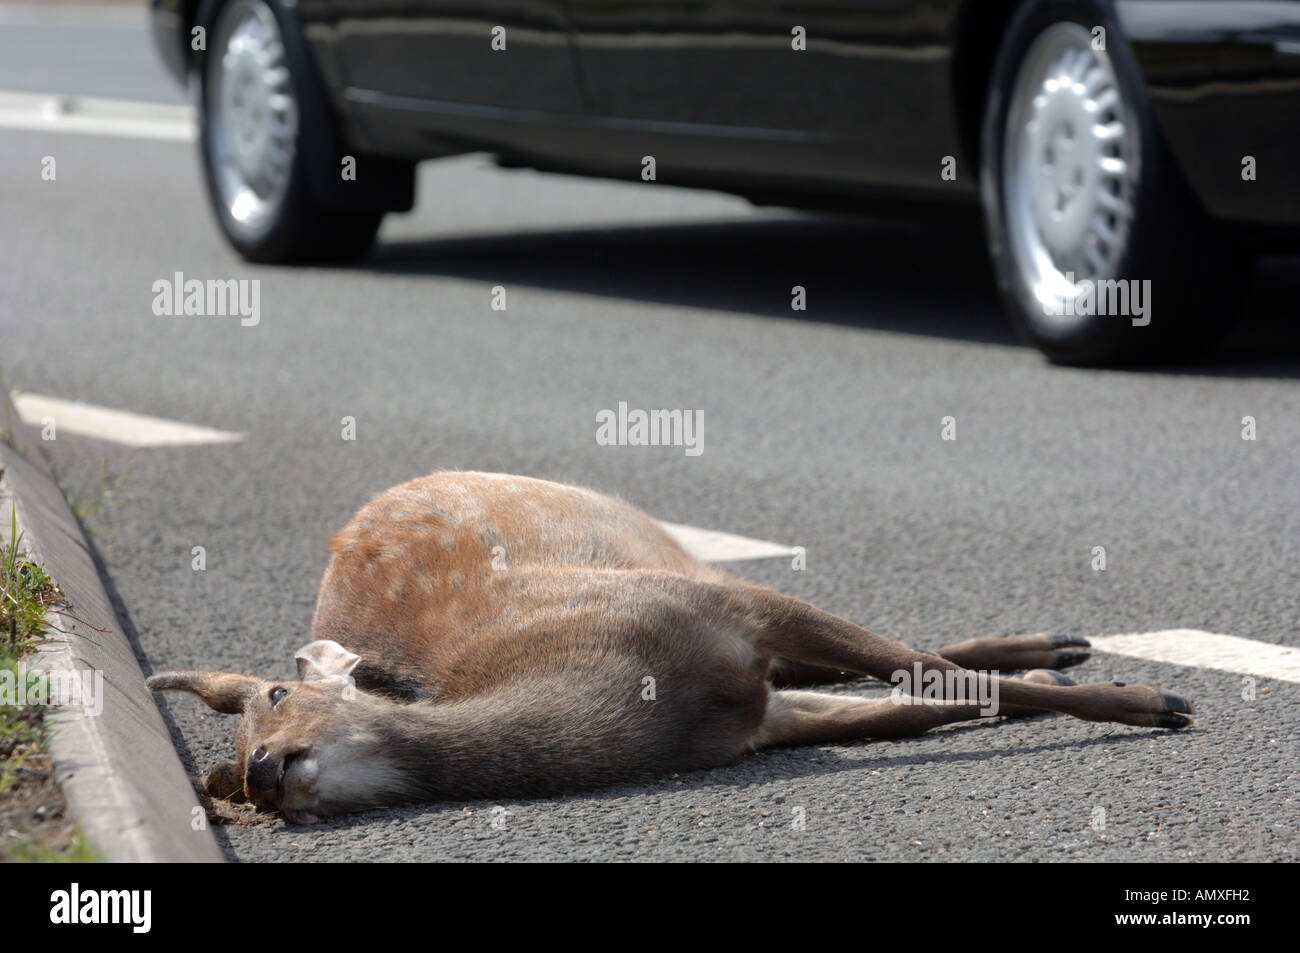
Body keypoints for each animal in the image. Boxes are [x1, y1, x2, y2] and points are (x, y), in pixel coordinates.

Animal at [148, 471, 1195, 824]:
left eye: (274, 699)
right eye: (236, 778)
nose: (265, 774)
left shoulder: (731, 602)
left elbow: (931, 678)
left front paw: (1157, 703)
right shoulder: (758, 720)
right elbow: (914, 706)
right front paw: (1132, 693)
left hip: (686, 560)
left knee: (900, 644)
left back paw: (1064, 642)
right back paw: (1057, 644)